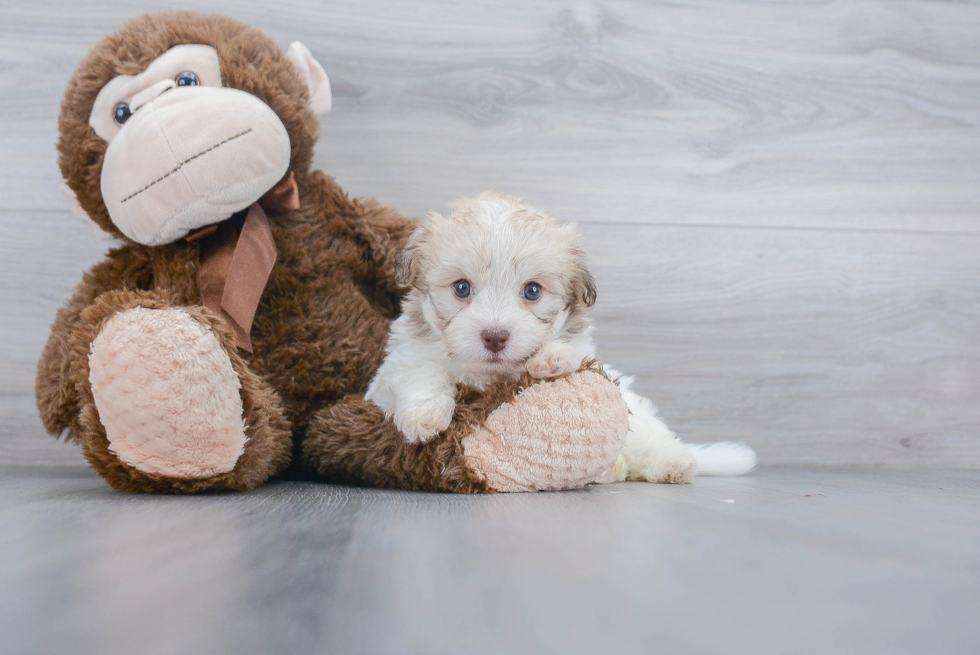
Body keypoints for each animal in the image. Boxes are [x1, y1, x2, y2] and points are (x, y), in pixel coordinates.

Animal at [364, 192, 756, 484]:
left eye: (532, 291)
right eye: (461, 288)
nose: (494, 336)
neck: (488, 377)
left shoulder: (585, 350)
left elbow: (573, 351)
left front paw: (552, 358)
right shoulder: (397, 365)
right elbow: (421, 371)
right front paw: (425, 417)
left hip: (637, 417)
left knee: (651, 440)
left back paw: (673, 463)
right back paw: (612, 470)